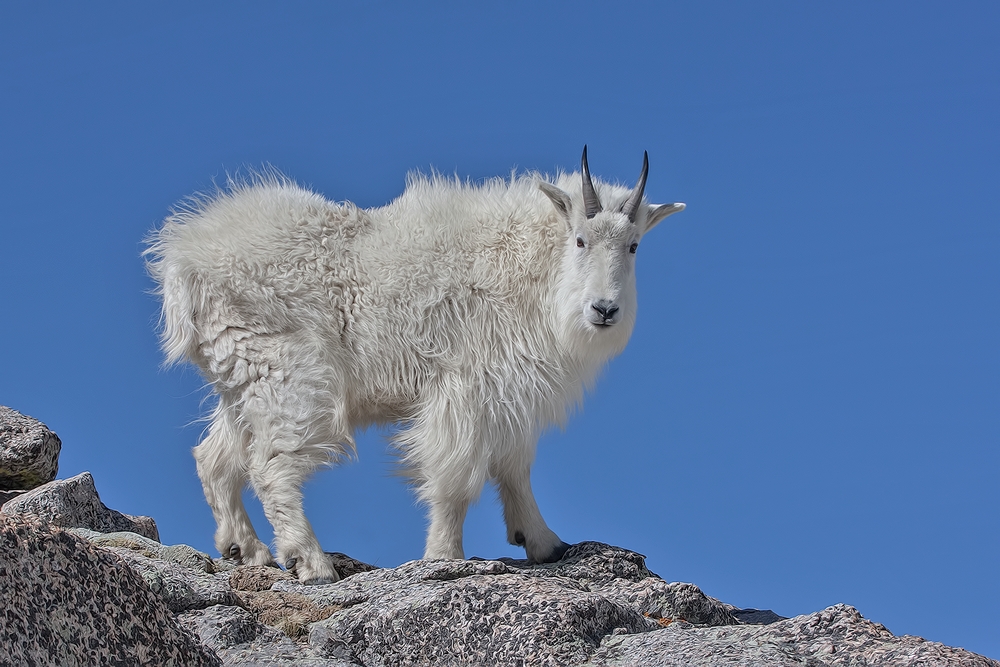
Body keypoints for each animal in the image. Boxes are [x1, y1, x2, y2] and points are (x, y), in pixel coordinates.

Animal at [145, 147, 684, 584]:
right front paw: (444, 557)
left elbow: (515, 468)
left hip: (243, 380)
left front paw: (544, 543)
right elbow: (454, 478)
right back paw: (310, 562)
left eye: (634, 245)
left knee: (215, 458)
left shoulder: (508, 395)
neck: (531, 268)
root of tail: (182, 265)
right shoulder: (466, 387)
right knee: (271, 465)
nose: (604, 310)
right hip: (289, 378)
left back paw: (246, 549)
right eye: (580, 240)